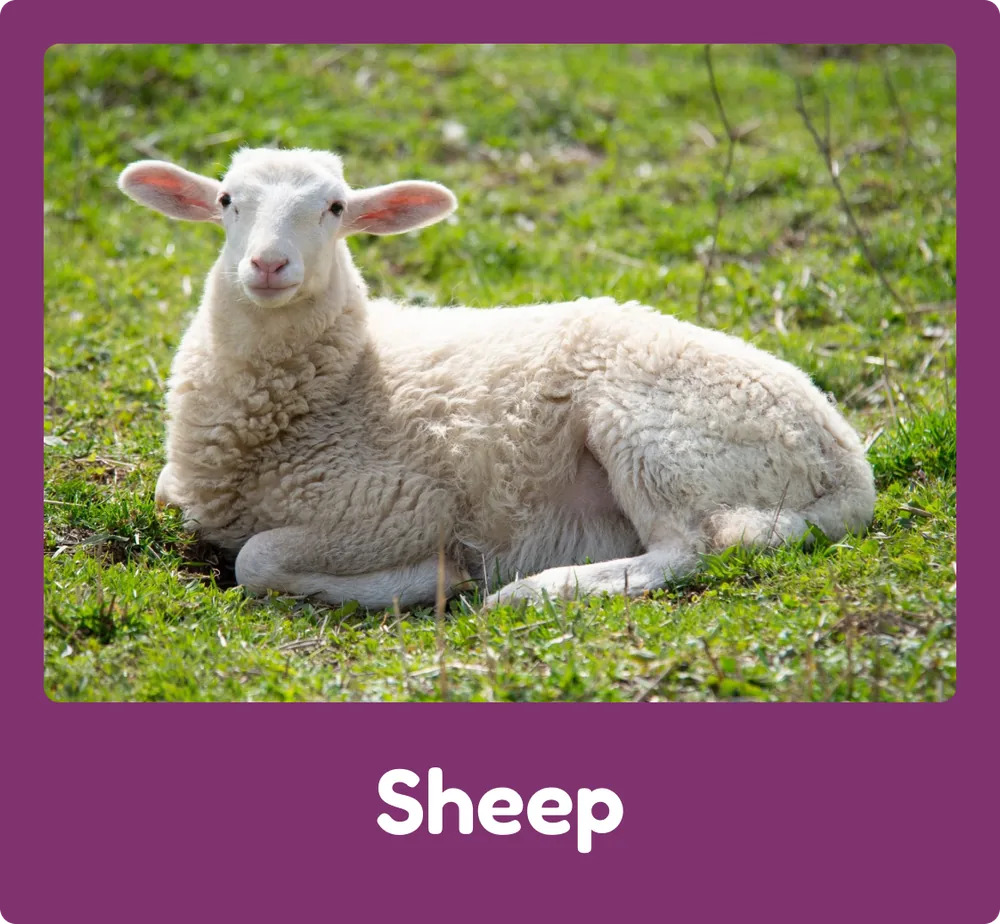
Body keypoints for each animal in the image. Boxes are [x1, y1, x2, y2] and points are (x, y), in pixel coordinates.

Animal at [117, 146, 876, 611]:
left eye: (335, 208)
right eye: (226, 200)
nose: (269, 265)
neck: (344, 384)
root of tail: (846, 463)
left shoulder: (400, 505)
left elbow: (257, 559)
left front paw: (434, 578)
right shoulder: (184, 485)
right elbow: (176, 502)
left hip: (657, 437)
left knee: (695, 547)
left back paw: (536, 590)